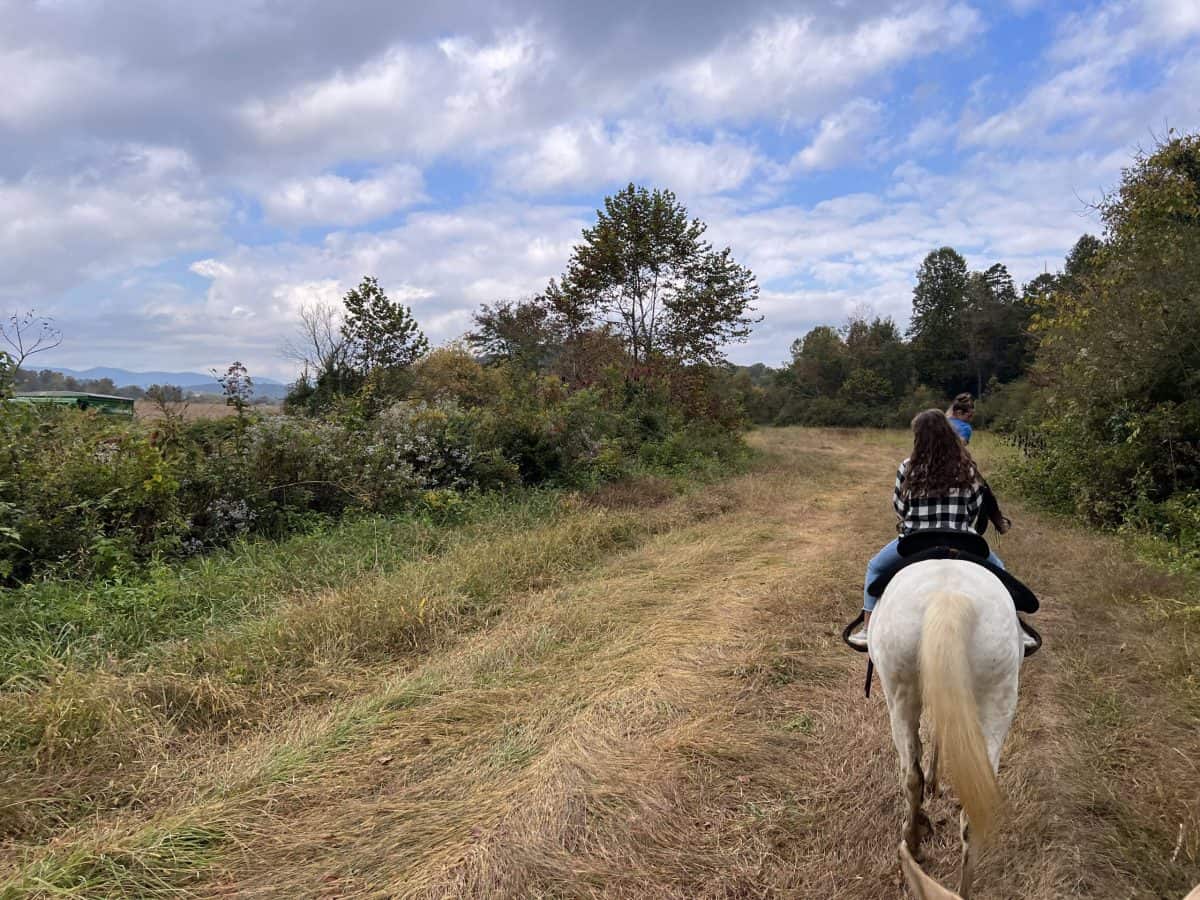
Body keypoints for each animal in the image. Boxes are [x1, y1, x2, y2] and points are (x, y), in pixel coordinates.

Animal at [870, 558, 1023, 899]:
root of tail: (949, 597)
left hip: (898, 695)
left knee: (910, 775)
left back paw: (913, 843)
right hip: (998, 697)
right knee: (972, 815)